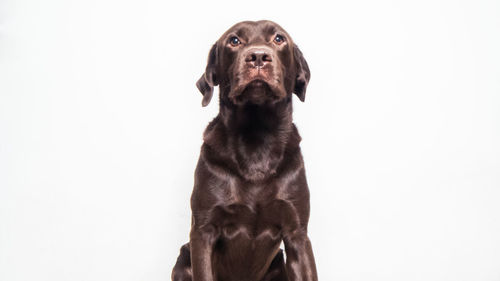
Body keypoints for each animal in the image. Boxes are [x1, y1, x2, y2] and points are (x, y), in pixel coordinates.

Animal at [172, 20, 316, 280]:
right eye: (234, 41)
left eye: (279, 39)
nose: (258, 56)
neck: (256, 139)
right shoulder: (203, 231)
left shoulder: (297, 233)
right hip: (183, 258)